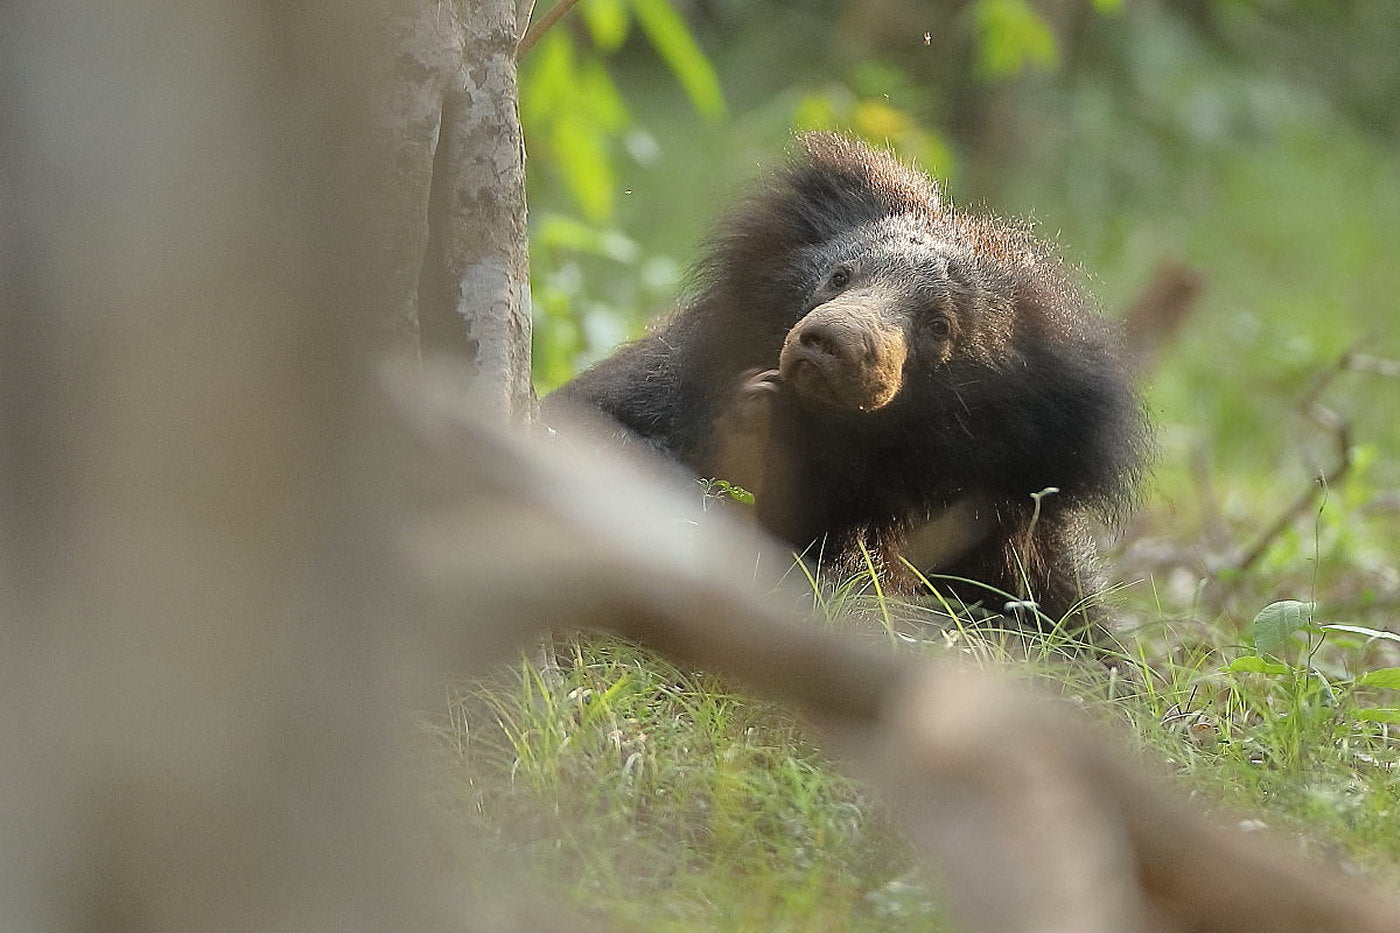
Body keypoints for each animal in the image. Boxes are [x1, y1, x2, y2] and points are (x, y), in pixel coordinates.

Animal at [540, 132, 1142, 633]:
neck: (840, 439)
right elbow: (596, 421)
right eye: (839, 276)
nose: (832, 341)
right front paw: (753, 420)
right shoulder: (683, 374)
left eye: (939, 325)